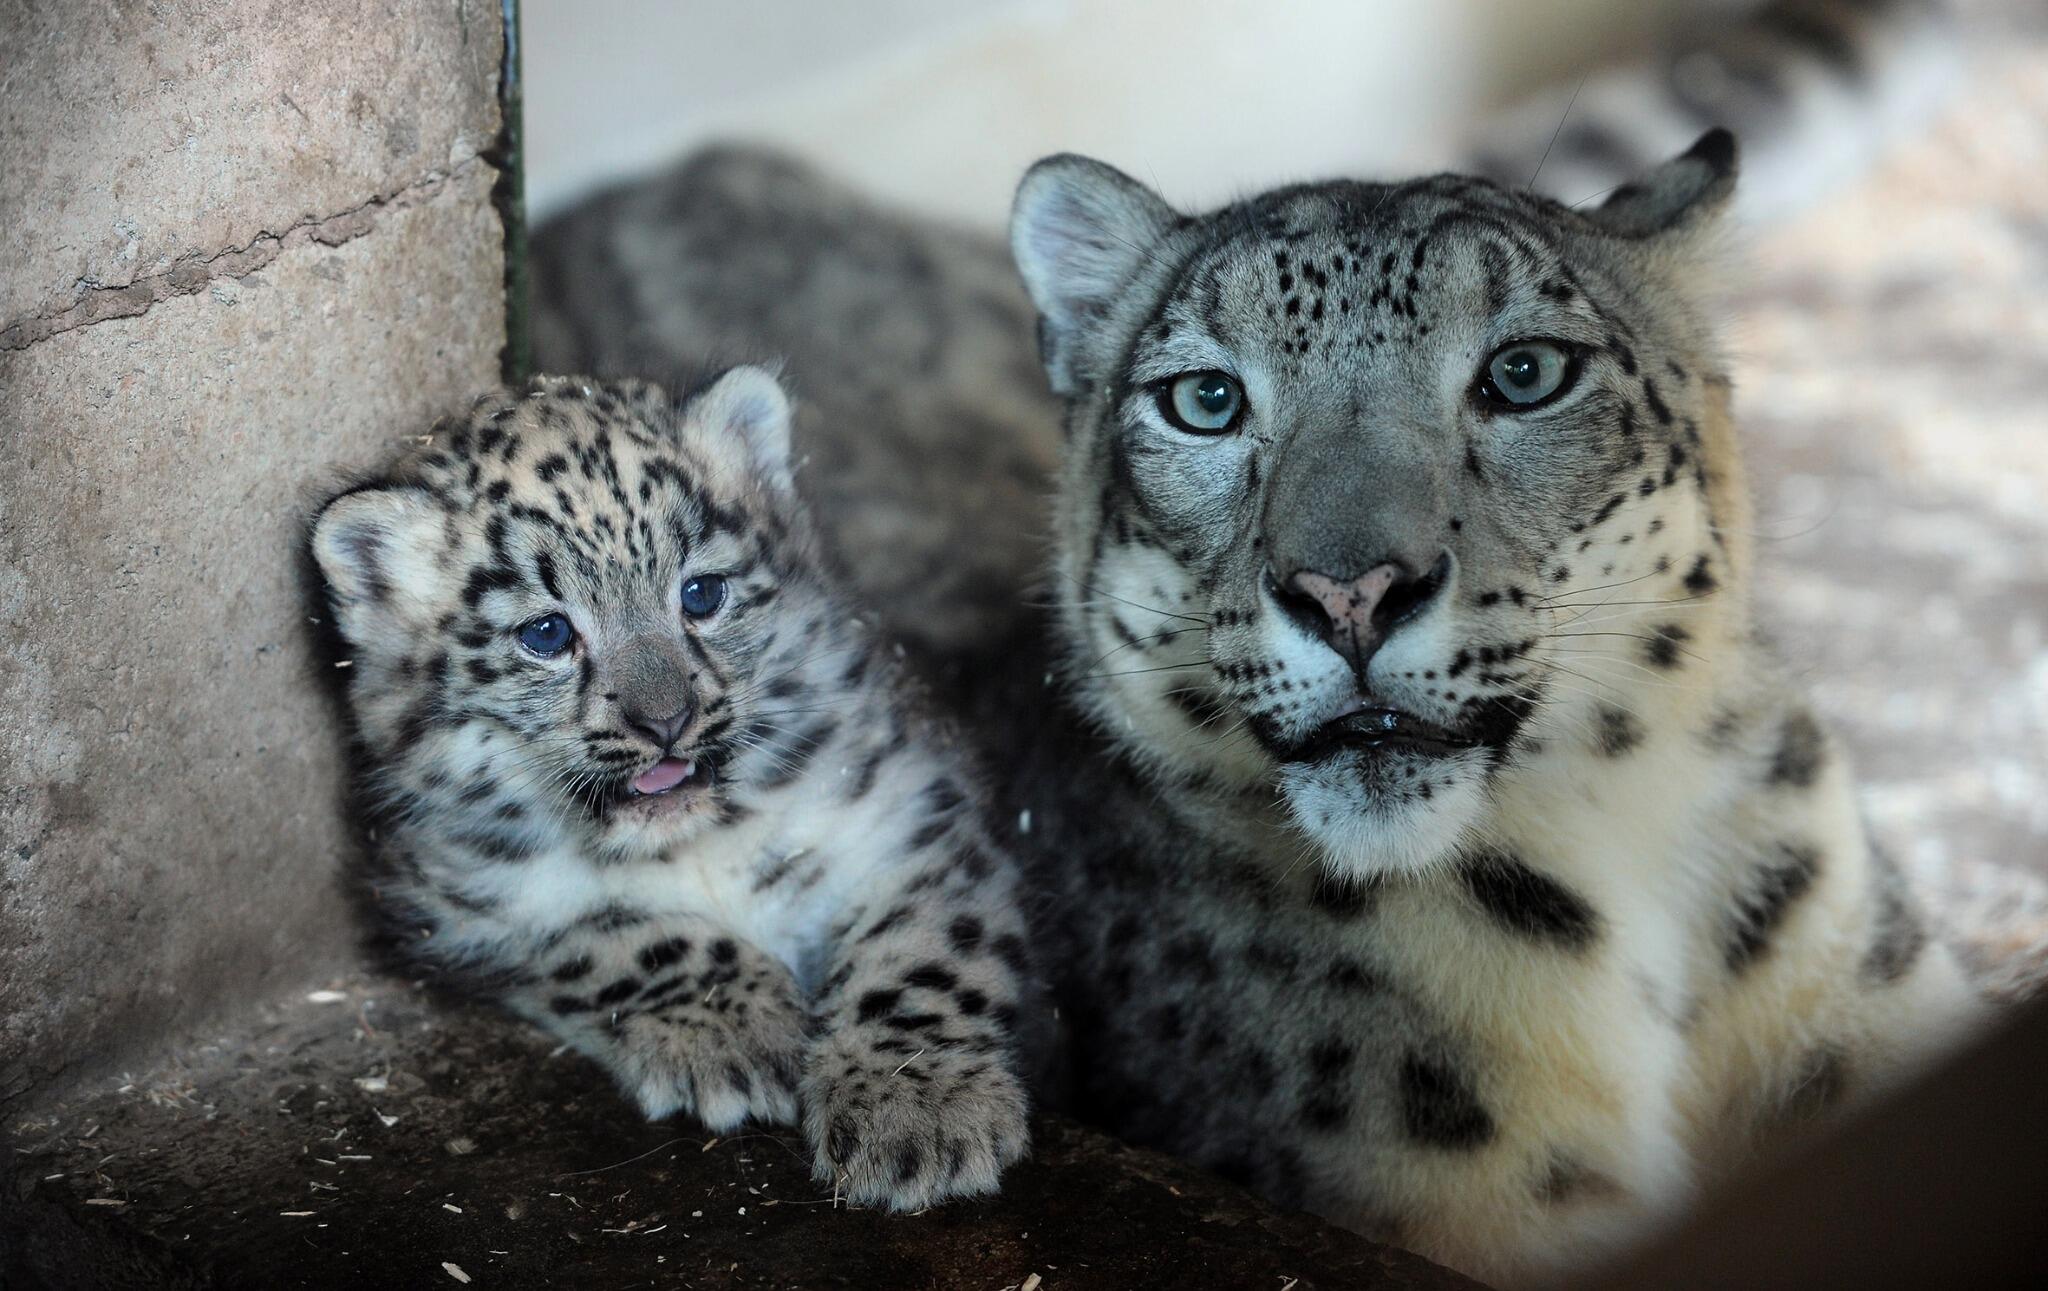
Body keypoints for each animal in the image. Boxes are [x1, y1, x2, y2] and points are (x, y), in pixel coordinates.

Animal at [308, 368, 1040, 1212]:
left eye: (701, 593)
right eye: (546, 634)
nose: (665, 719)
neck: (695, 849)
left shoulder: (911, 814)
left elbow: (925, 954)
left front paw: (917, 1110)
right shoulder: (470, 900)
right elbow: (619, 937)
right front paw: (741, 1032)